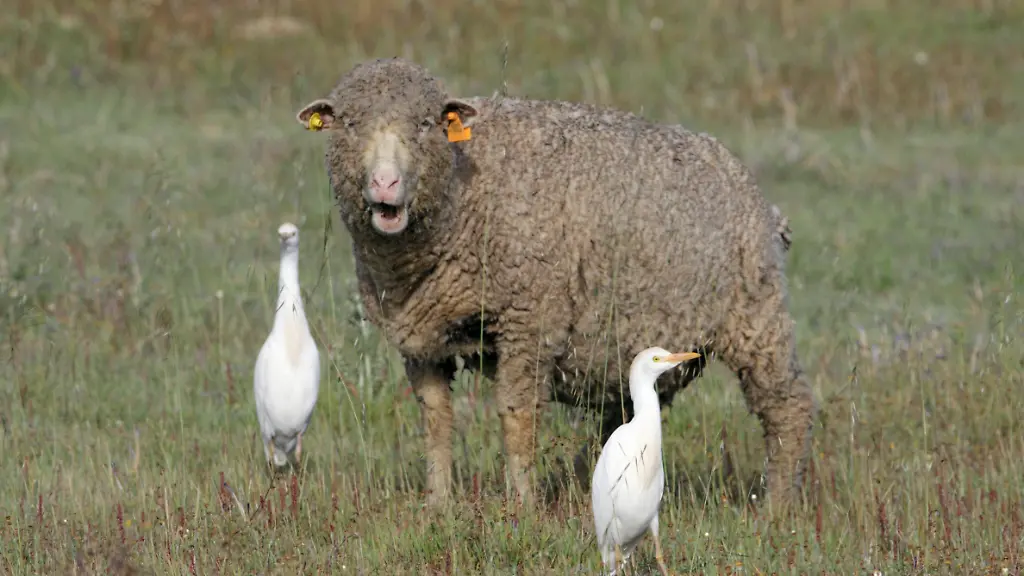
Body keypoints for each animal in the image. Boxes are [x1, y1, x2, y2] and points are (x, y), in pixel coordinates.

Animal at [296, 57, 818, 510]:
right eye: (349, 124)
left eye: (426, 124)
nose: (385, 184)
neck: (460, 197)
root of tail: (759, 199)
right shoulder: (422, 340)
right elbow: (436, 420)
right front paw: (437, 505)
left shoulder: (528, 319)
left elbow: (517, 415)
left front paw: (523, 506)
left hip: (756, 315)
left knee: (787, 408)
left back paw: (777, 510)